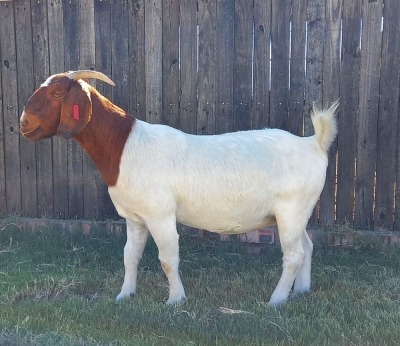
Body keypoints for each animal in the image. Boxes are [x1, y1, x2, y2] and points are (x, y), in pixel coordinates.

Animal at [20, 70, 340, 306]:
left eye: (56, 93)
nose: (23, 123)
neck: (125, 147)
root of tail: (313, 144)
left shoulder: (160, 214)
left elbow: (167, 258)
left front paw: (175, 300)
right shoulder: (135, 217)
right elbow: (129, 255)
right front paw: (125, 295)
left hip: (291, 209)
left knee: (294, 255)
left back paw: (276, 300)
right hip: (298, 213)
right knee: (307, 246)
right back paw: (301, 291)